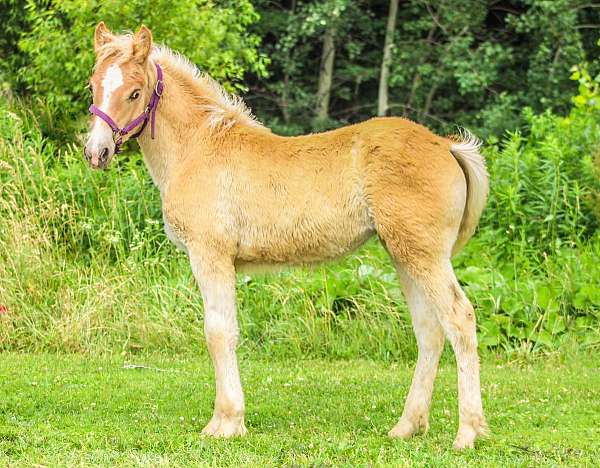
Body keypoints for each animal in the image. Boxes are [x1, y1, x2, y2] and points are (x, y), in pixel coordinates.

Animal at [83, 22, 488, 450]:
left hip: (423, 255)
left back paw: (467, 432)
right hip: (403, 255)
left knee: (459, 319)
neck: (199, 147)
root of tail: (445, 145)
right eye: (93, 85)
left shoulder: (210, 255)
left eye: (134, 92)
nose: (97, 152)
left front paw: (226, 422)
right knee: (429, 330)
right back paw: (408, 425)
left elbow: (219, 333)